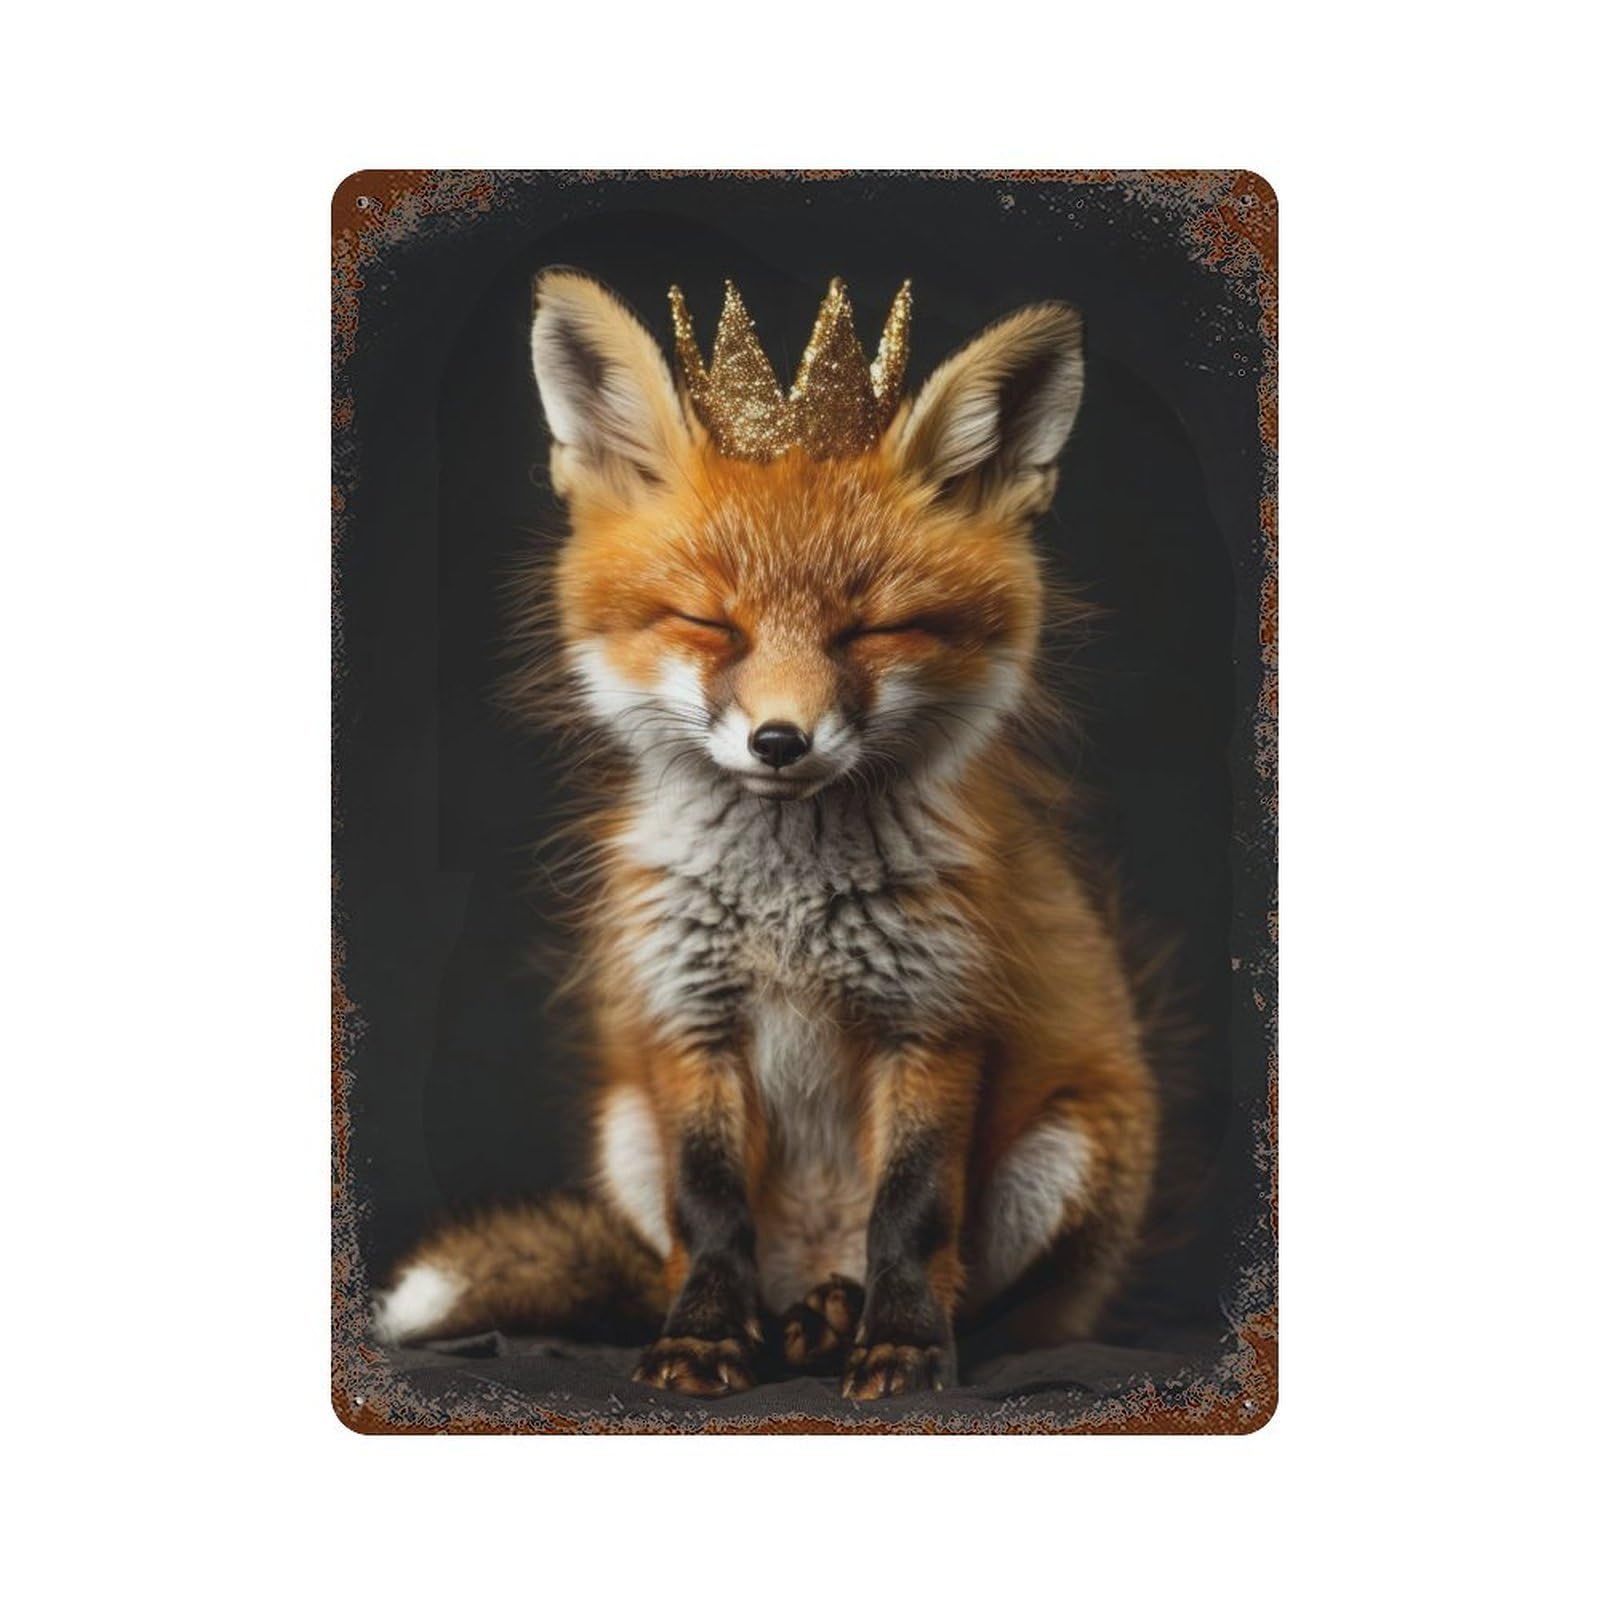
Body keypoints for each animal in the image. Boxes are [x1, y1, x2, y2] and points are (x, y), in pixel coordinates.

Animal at [371, 270, 1158, 1400]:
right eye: (712, 624)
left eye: (873, 631)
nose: (780, 740)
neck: (789, 912)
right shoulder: (689, 1018)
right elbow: (710, 1214)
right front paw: (703, 1339)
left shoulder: (936, 1019)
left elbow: (915, 1212)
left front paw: (903, 1344)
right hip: (625, 1132)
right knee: (687, 1263)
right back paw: (783, 1326)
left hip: (1069, 1157)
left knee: (985, 1299)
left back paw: (842, 1324)